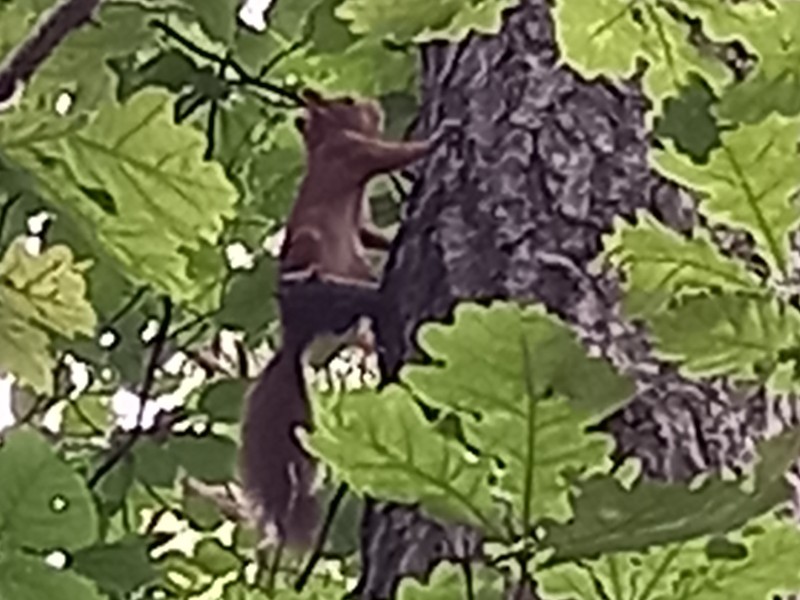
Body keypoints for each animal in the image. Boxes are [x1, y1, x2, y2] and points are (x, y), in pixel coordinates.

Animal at [239, 89, 435, 547]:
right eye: (346, 100)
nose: (375, 106)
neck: (324, 142)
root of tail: (295, 332)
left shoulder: (359, 212)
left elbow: (367, 232)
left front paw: (393, 234)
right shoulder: (355, 154)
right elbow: (393, 155)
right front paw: (437, 138)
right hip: (314, 250)